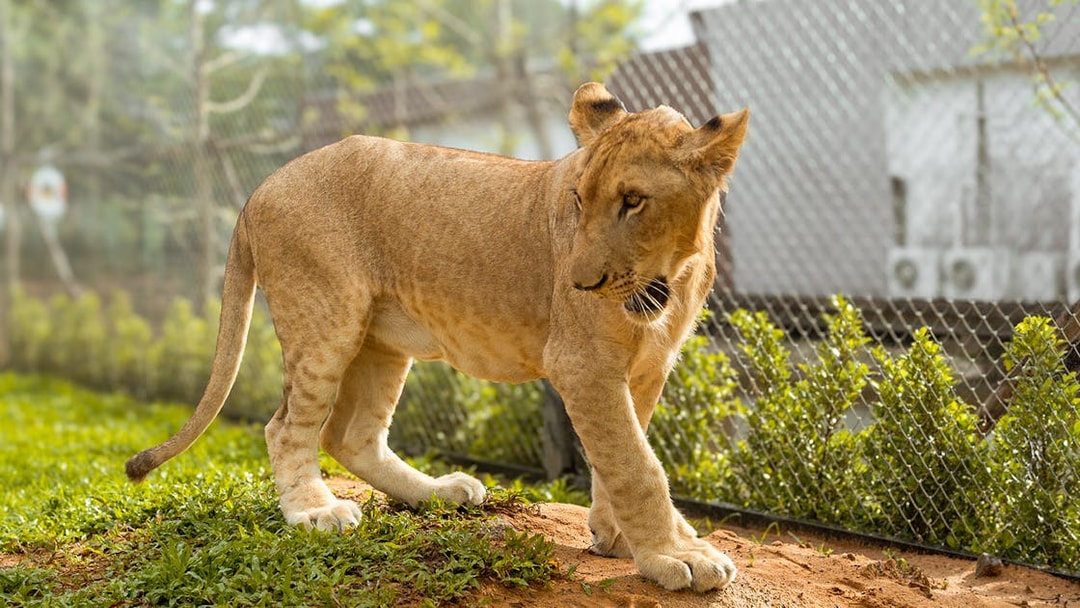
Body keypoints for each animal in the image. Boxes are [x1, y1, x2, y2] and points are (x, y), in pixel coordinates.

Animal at [126, 82, 749, 592]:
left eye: (633, 201)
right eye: (578, 200)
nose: (578, 283)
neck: (670, 276)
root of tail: (261, 186)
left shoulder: (646, 368)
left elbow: (618, 453)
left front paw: (616, 535)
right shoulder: (583, 365)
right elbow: (637, 465)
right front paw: (675, 555)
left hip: (381, 341)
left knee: (351, 436)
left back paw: (440, 494)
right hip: (326, 322)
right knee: (286, 428)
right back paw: (315, 512)